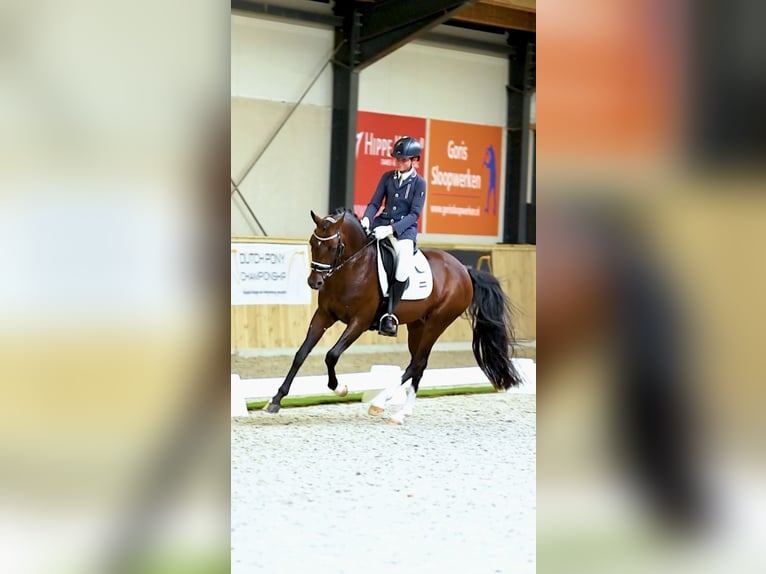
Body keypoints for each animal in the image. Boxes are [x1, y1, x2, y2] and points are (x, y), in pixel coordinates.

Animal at [260, 208, 524, 424]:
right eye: (312, 243)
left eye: (334, 247)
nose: (314, 282)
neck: (351, 269)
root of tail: (464, 270)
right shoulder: (324, 315)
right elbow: (301, 354)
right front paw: (275, 400)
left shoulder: (360, 321)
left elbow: (331, 355)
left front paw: (340, 388)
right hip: (418, 325)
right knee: (419, 364)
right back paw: (402, 412)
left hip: (437, 322)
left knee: (417, 363)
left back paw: (382, 404)